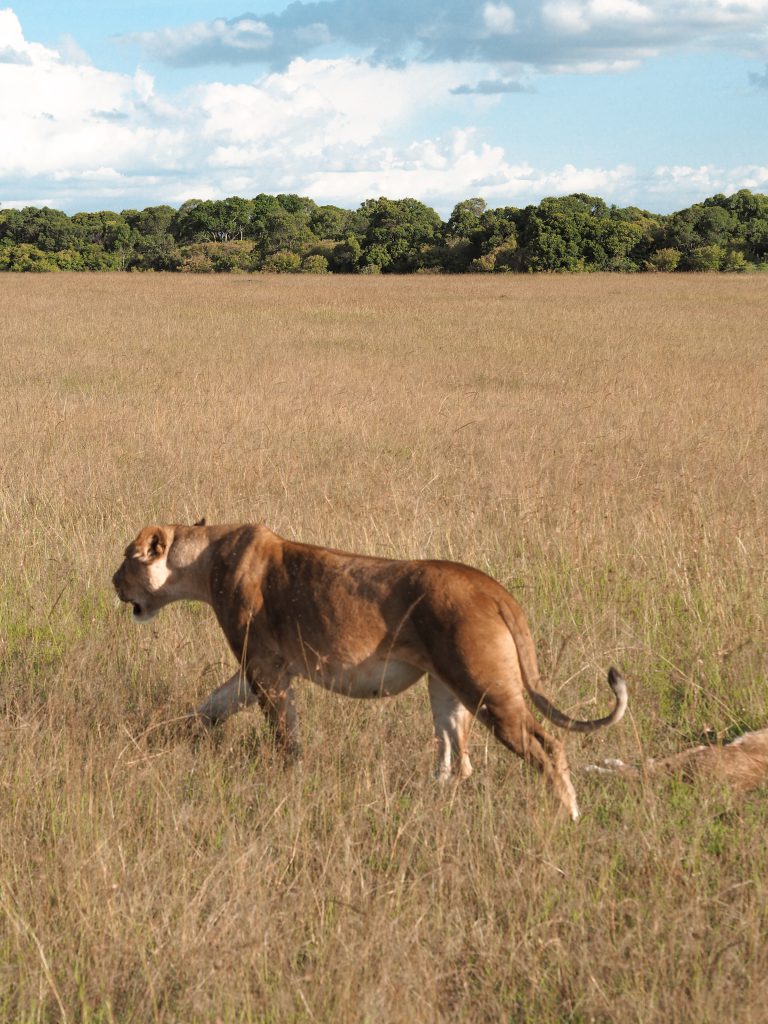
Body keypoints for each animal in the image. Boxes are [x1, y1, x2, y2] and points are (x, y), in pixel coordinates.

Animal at [113, 521, 628, 819]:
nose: (112, 582)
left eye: (125, 559)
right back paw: (428, 799)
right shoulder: (260, 669)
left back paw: (566, 815)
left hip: (485, 686)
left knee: (547, 745)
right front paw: (171, 736)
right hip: (445, 687)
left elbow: (283, 729)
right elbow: (210, 705)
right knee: (456, 756)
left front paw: (289, 772)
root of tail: (494, 589)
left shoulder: (265, 666)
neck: (201, 561)